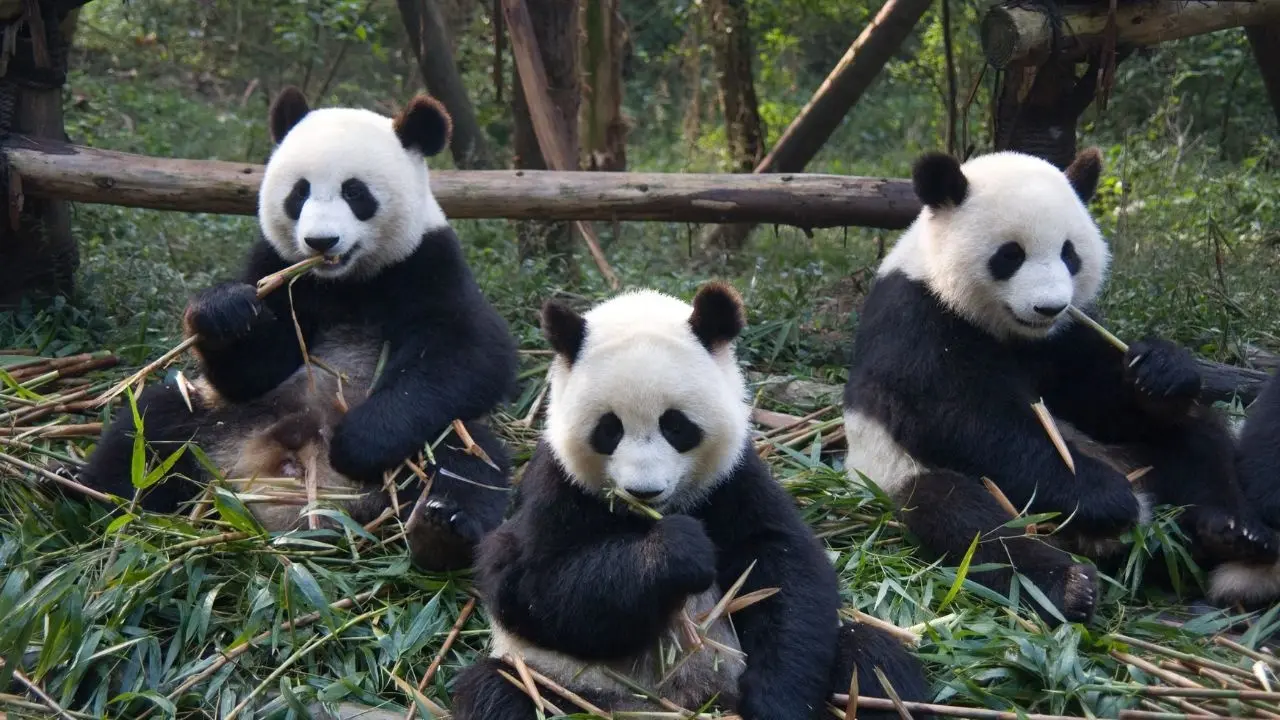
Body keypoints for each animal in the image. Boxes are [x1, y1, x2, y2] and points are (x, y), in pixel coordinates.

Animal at [78, 86, 518, 572]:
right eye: (299, 192)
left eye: (355, 192)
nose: (320, 242)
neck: (345, 281)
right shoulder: (279, 267)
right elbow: (254, 370)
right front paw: (225, 312)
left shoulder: (427, 262)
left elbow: (470, 354)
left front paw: (358, 441)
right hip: (220, 421)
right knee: (150, 426)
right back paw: (77, 492)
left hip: (426, 446)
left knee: (469, 459)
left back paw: (441, 529)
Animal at [450, 283, 931, 720]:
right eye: (609, 429)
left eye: (676, 426)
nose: (644, 491)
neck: (648, 516)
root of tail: (690, 703)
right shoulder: (556, 485)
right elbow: (531, 586)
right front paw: (675, 551)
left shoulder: (733, 478)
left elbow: (784, 568)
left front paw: (777, 703)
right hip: (567, 685)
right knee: (499, 691)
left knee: (872, 659)